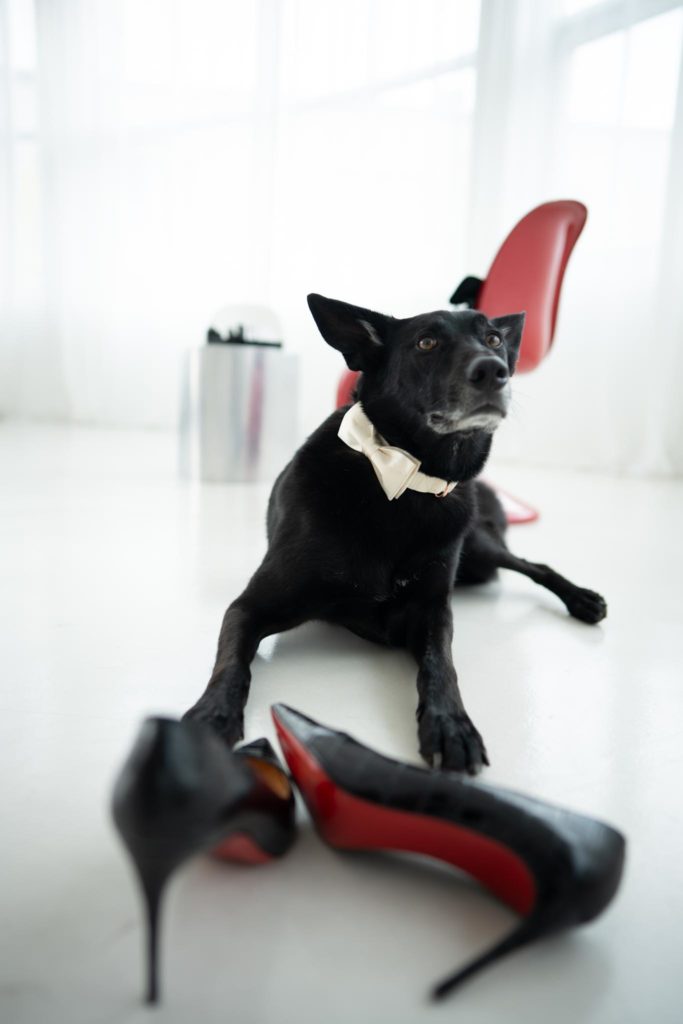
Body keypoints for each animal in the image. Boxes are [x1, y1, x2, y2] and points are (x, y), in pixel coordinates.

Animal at [184, 294, 607, 774]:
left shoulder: (433, 612)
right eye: (426, 342)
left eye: (494, 339)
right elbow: (231, 664)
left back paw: (582, 599)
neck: (403, 486)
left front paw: (450, 724)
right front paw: (212, 715)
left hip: (477, 553)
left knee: (532, 564)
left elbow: (441, 666)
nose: (493, 370)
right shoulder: (249, 606)